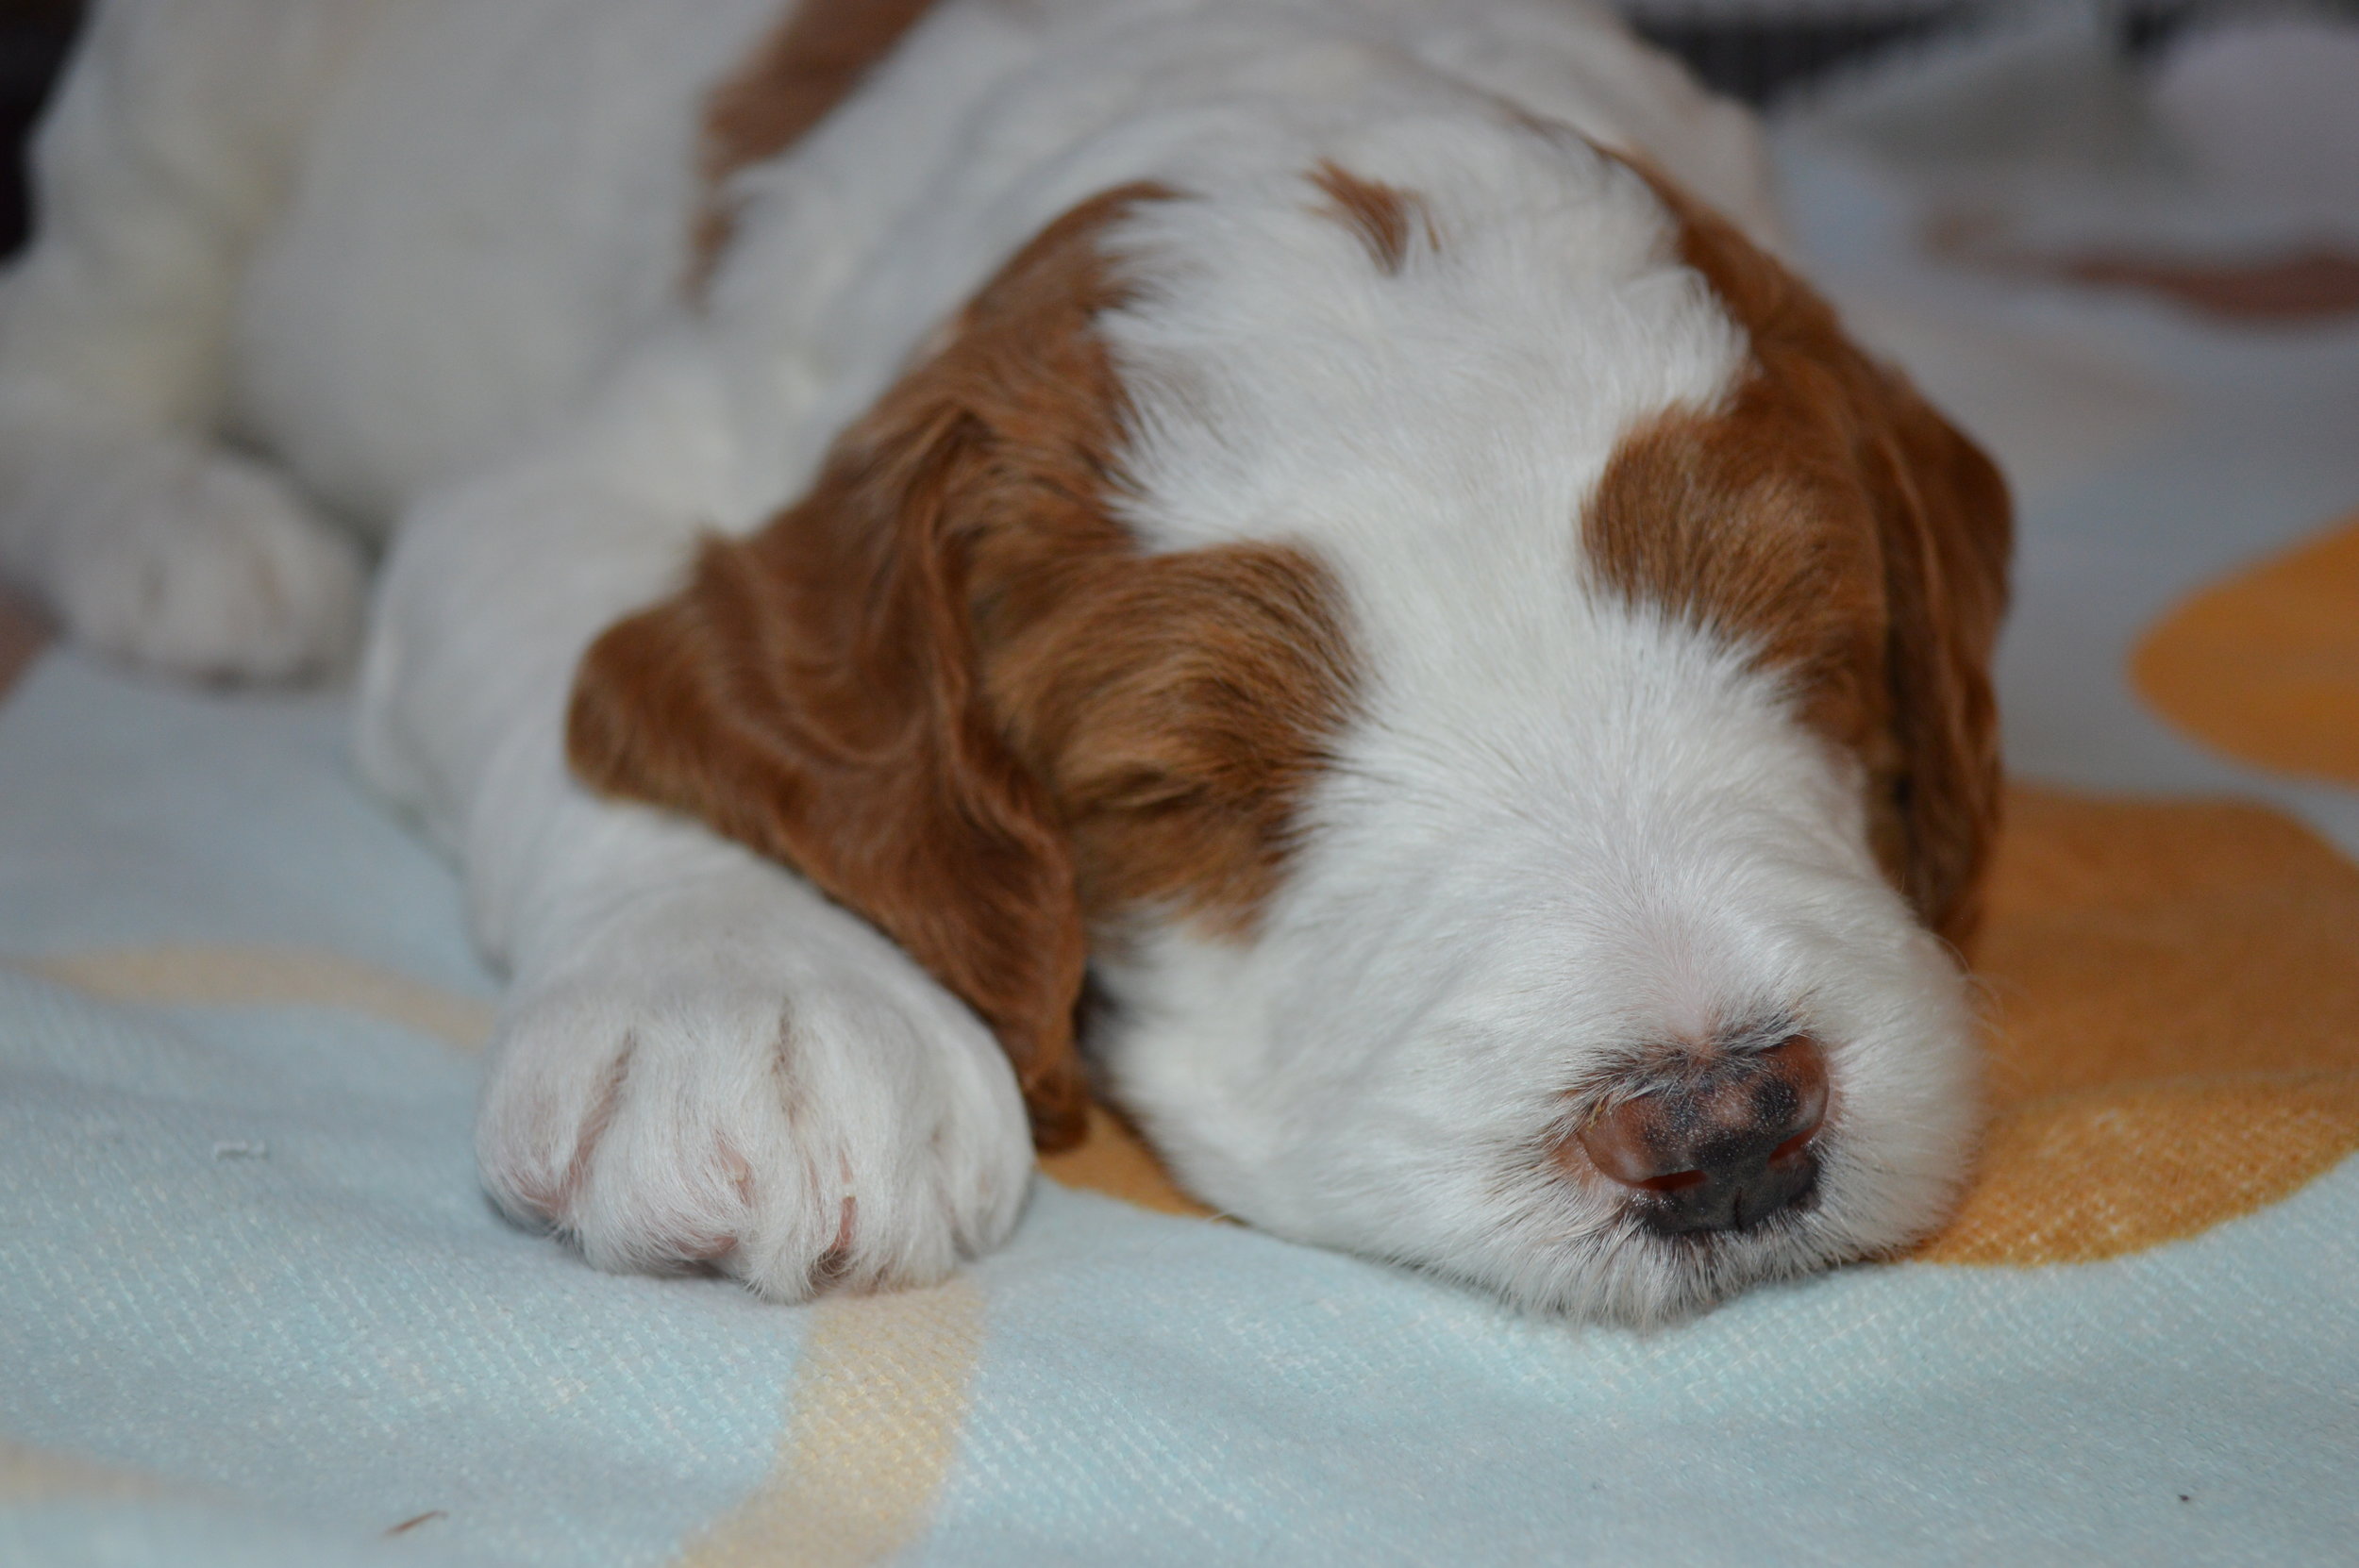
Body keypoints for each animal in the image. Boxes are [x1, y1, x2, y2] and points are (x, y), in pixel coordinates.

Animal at [0, 0, 2010, 1320]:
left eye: (1813, 637)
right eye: (1178, 780)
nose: (1725, 1121)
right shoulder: (571, 478)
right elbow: (595, 693)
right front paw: (745, 1008)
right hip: (199, 118)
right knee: (74, 331)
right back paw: (194, 541)